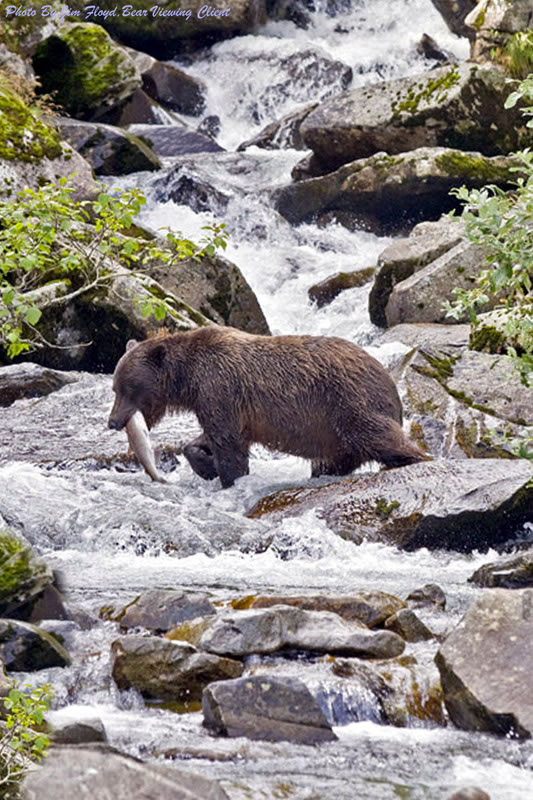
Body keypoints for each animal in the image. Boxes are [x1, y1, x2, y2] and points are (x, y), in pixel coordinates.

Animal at [108, 325, 429, 488]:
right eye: (115, 387)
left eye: (127, 387)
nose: (113, 421)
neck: (188, 378)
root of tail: (388, 377)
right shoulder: (220, 403)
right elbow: (211, 437)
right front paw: (204, 463)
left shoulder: (220, 387)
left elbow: (229, 444)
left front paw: (227, 477)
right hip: (336, 435)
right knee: (333, 461)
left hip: (350, 403)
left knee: (381, 437)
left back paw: (418, 458)